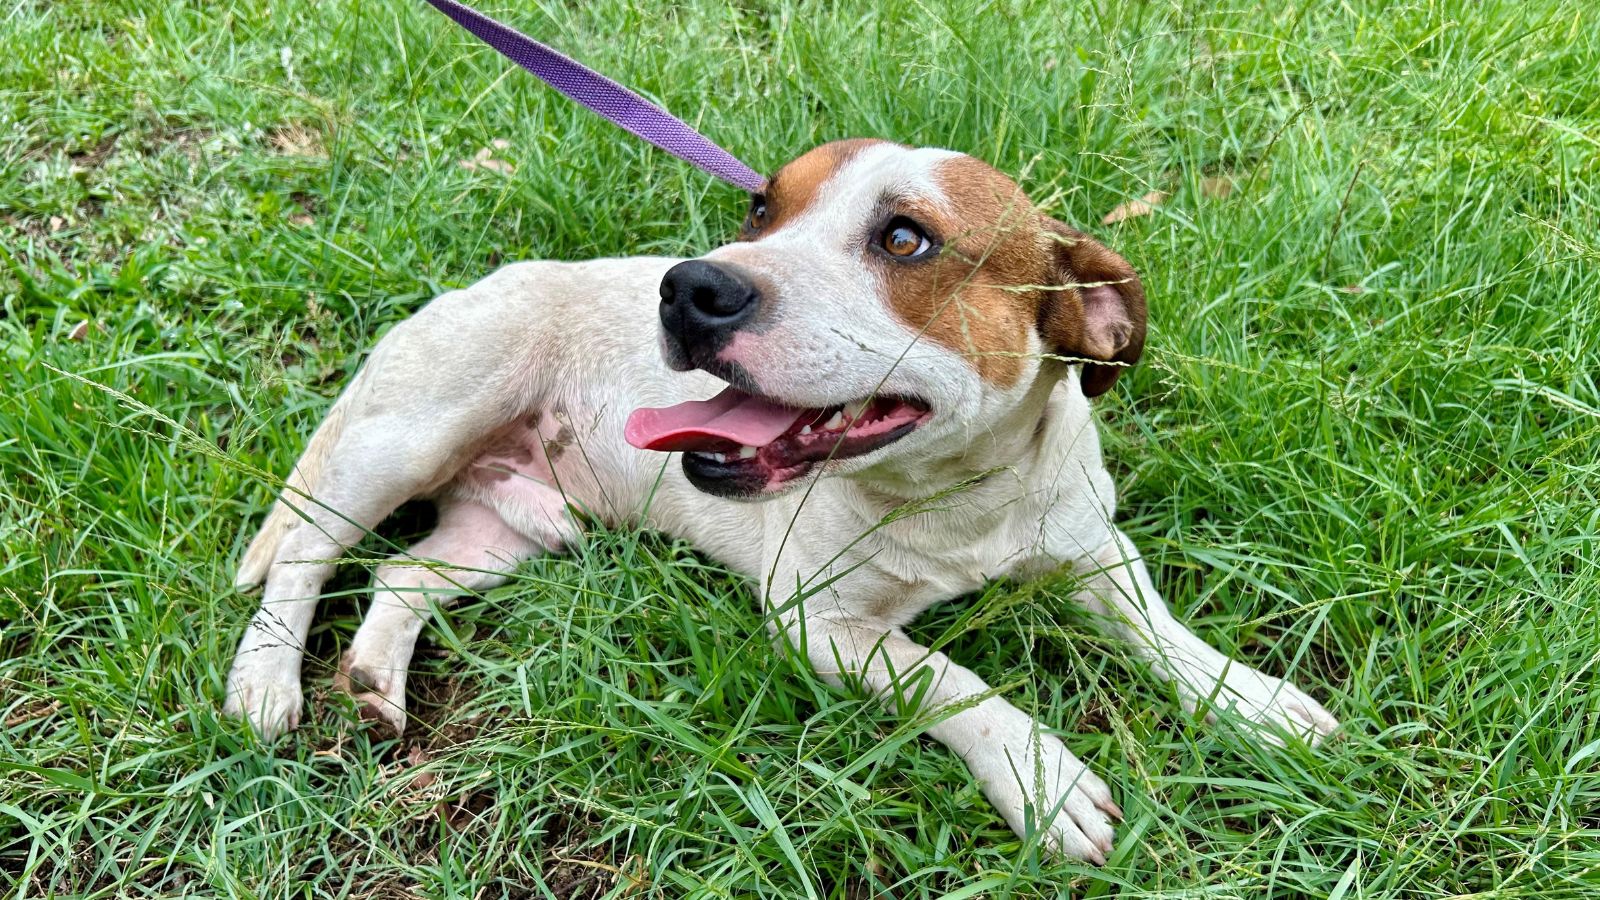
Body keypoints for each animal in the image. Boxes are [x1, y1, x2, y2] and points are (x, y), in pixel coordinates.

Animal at [225, 136, 1337, 858]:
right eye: (762, 208)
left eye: (905, 240)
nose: (690, 286)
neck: (955, 499)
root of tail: (456, 293)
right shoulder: (823, 625)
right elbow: (951, 680)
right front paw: (1039, 776)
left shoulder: (1091, 549)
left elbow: (1158, 630)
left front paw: (1247, 698)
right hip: (405, 442)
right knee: (306, 555)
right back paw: (267, 682)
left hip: (518, 530)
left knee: (402, 578)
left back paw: (374, 678)